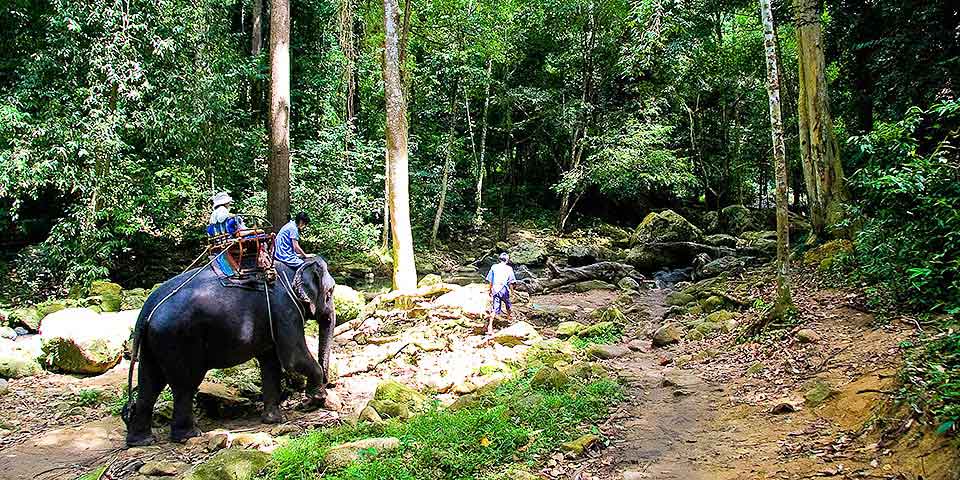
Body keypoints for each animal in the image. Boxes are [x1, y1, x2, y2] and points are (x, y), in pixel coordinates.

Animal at [123, 256, 338, 444]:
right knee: (184, 385)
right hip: (178, 340)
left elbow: (270, 361)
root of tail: (146, 311)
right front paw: (316, 399)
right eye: (330, 292)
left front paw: (274, 420)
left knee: (150, 383)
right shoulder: (285, 309)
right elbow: (293, 358)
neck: (295, 268)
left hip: (152, 343)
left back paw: (141, 440)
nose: (306, 404)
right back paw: (189, 435)